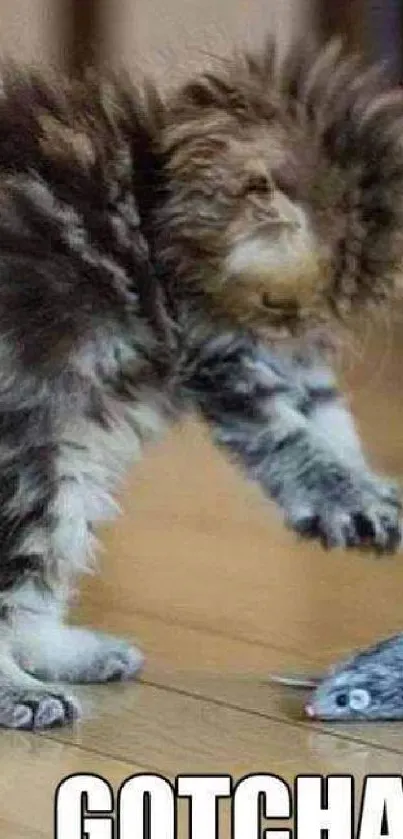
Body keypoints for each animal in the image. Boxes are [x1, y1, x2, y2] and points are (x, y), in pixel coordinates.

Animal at [0, 39, 400, 728]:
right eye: (277, 303)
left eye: (323, 312)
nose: (292, 330)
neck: (153, 200)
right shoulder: (218, 350)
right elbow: (290, 437)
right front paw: (347, 495)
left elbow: (328, 416)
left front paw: (368, 487)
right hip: (31, 455)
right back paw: (23, 691)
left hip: (65, 454)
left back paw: (69, 653)